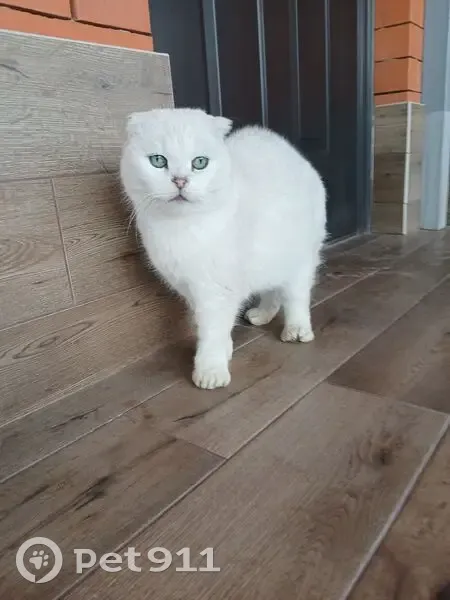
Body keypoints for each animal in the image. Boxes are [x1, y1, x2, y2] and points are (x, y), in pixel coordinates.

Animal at [120, 107, 327, 390]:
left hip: (301, 257)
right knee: (272, 291)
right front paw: (225, 350)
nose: (180, 181)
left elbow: (212, 330)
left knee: (296, 296)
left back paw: (296, 330)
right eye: (158, 161)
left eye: (199, 162)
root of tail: (286, 148)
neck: (181, 229)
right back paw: (262, 315)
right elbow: (205, 325)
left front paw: (210, 370)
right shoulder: (188, 286)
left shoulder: (216, 289)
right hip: (268, 259)